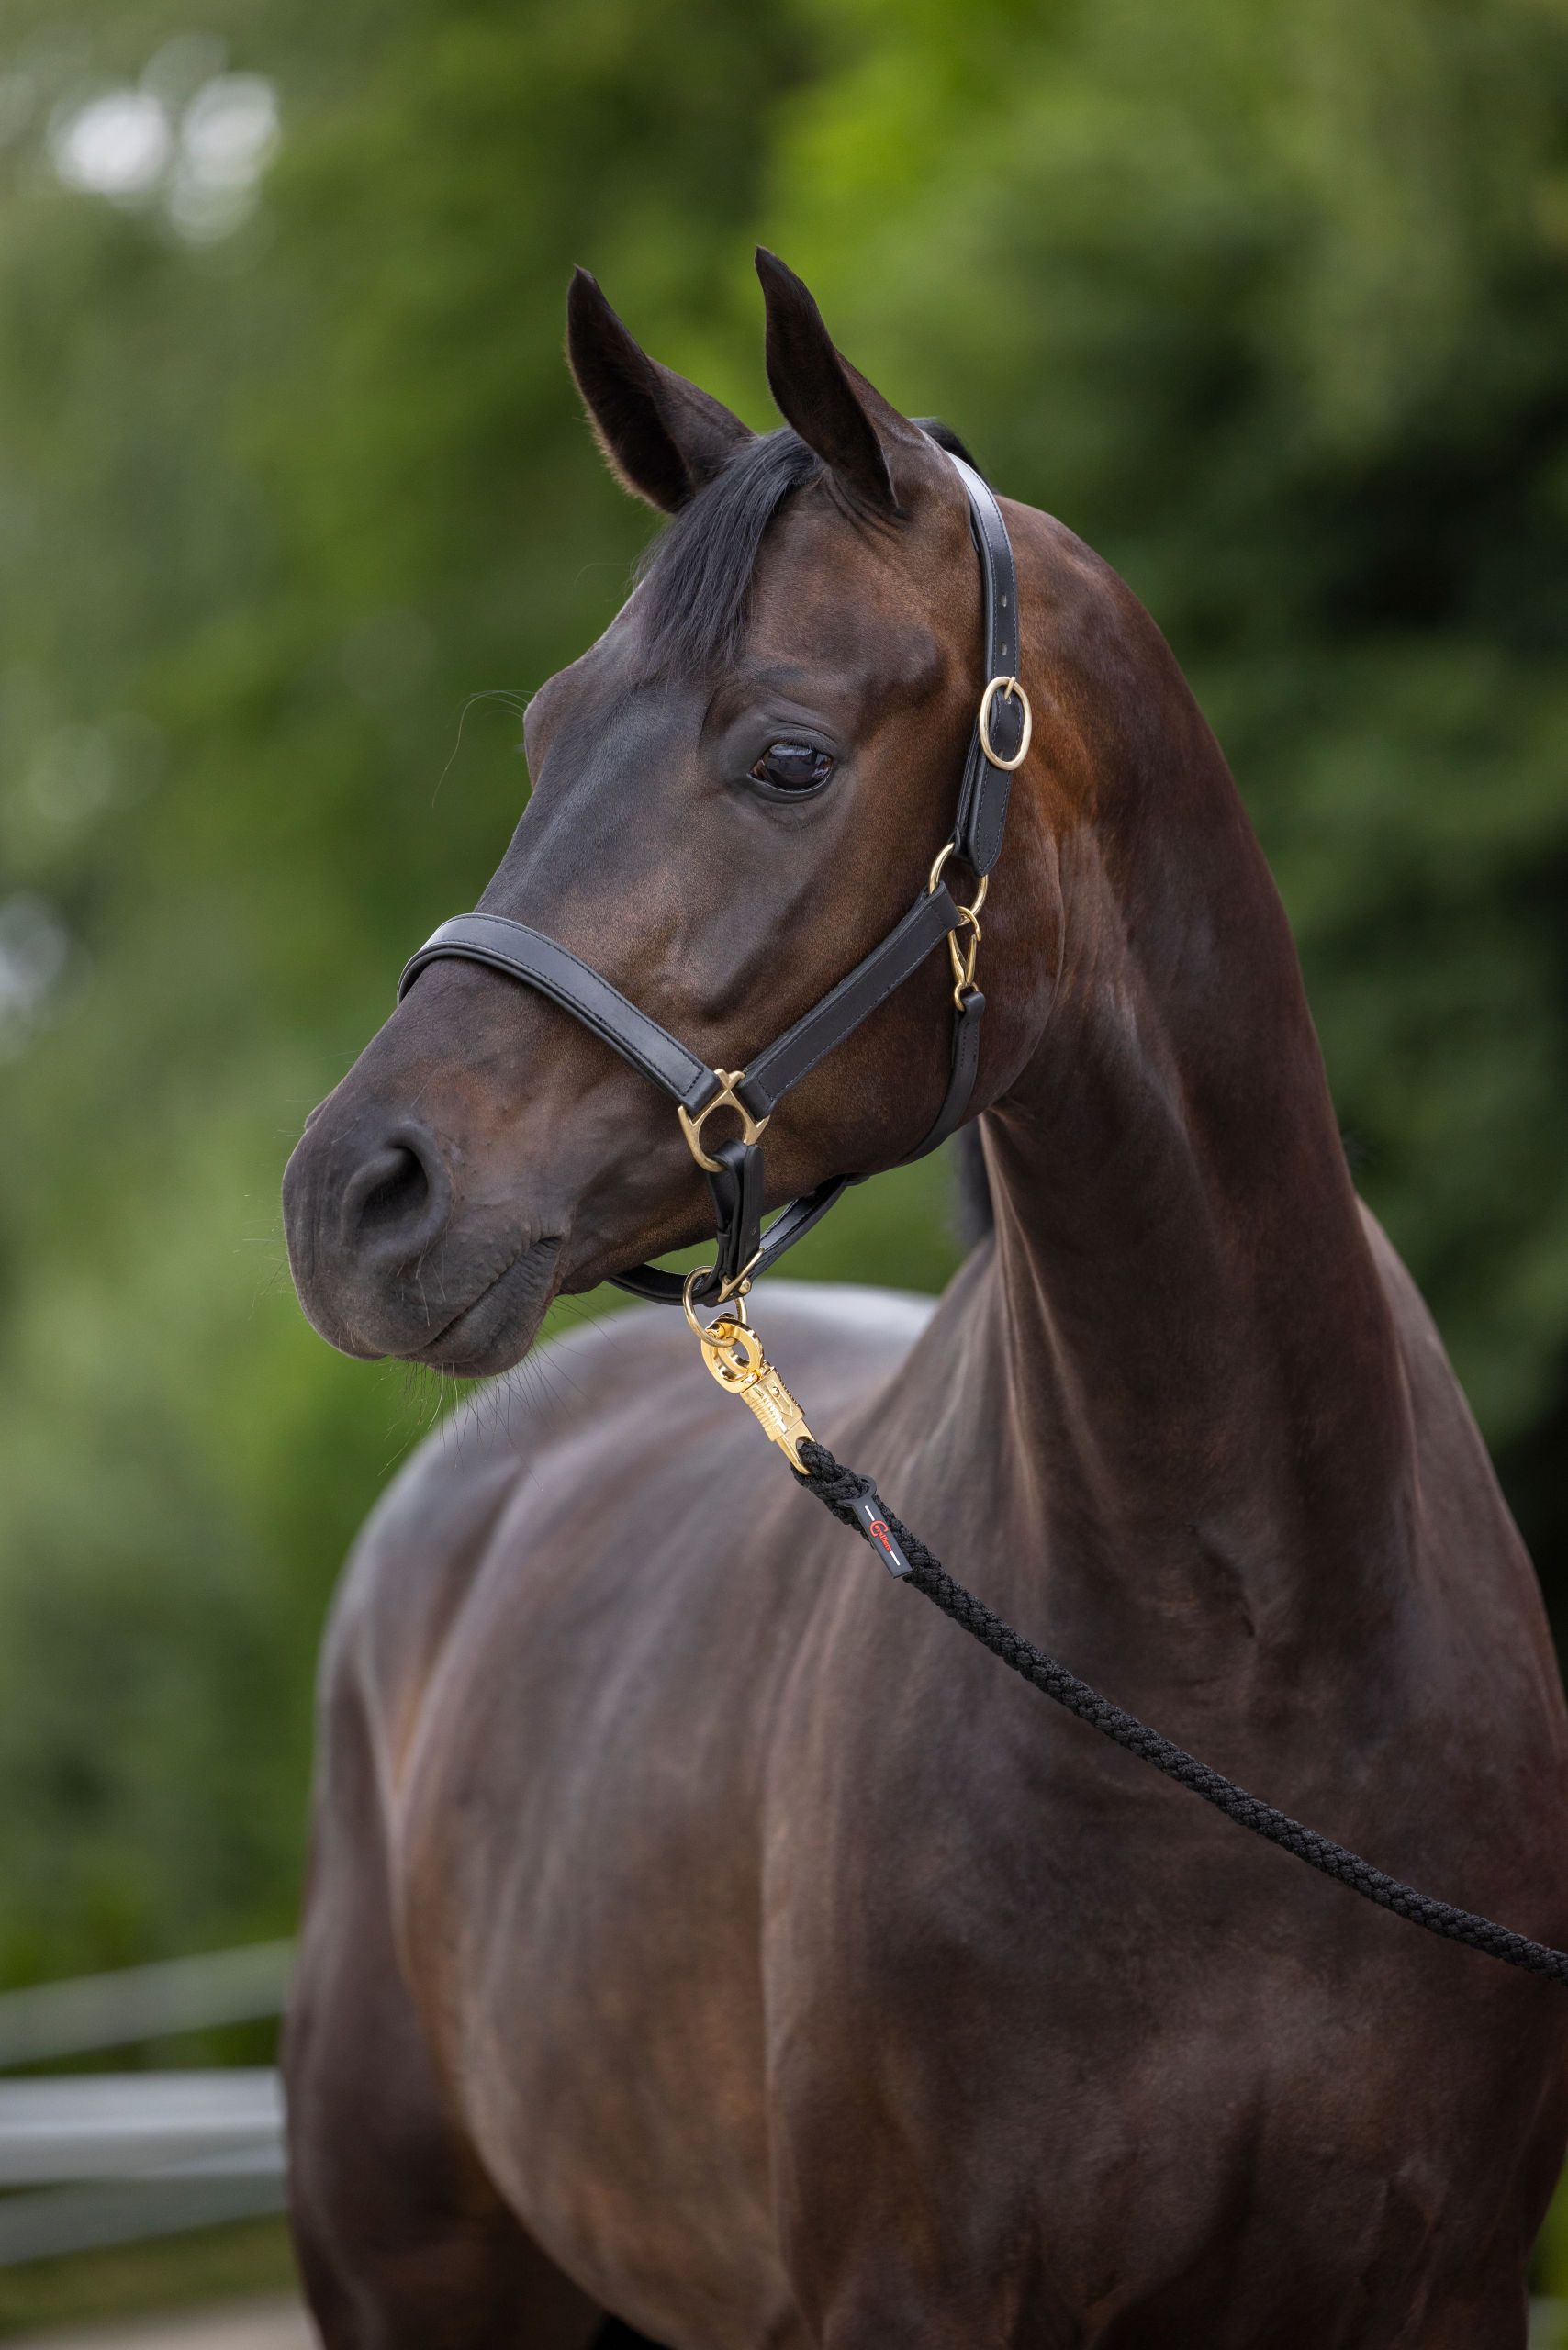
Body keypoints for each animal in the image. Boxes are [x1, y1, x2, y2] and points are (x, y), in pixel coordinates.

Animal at [280, 250, 1568, 2347]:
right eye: (547, 732)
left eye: (787, 755)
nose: (353, 1197)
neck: (1248, 1654)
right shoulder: (909, 2298)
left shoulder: (1443, 2282)